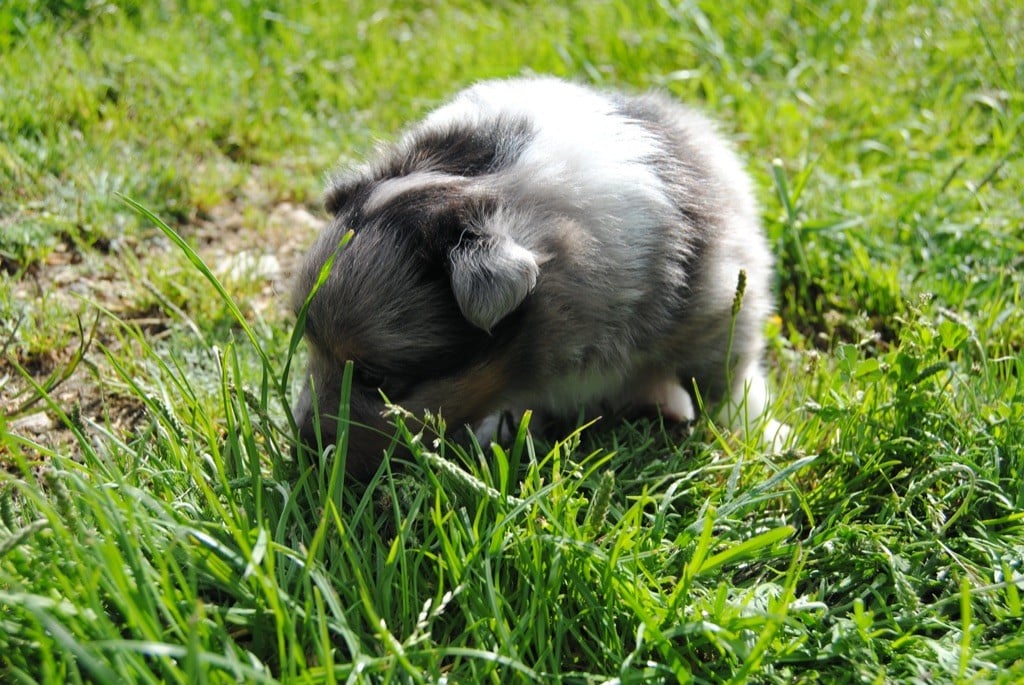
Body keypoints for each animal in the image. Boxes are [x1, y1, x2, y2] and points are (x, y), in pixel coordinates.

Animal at [288, 76, 774, 475]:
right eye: (308, 343)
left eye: (374, 379)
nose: (305, 446)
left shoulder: (718, 303)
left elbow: (726, 380)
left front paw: (757, 433)